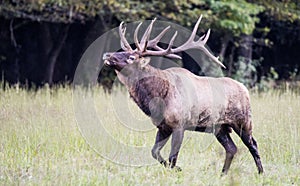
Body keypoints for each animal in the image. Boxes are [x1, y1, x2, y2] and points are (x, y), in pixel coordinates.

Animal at [102, 15, 262, 174]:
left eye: (132, 57)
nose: (107, 55)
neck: (157, 98)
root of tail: (244, 88)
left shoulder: (179, 124)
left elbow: (173, 156)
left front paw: (176, 169)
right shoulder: (163, 127)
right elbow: (154, 152)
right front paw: (174, 168)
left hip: (243, 120)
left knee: (253, 144)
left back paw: (261, 173)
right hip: (220, 127)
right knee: (232, 148)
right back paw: (223, 174)